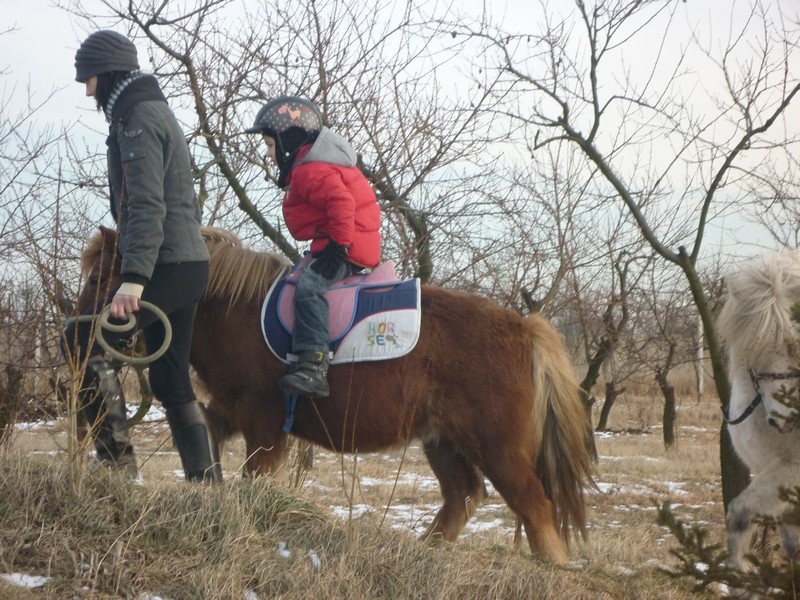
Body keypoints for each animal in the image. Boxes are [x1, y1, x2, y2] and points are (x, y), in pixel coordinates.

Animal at [78, 225, 592, 564]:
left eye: (100, 278)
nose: (80, 337)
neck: (235, 308)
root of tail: (525, 330)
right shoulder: (227, 412)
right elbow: (204, 445)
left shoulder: (265, 425)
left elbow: (255, 480)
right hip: (443, 442)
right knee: (463, 497)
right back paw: (424, 552)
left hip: (497, 448)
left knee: (534, 506)